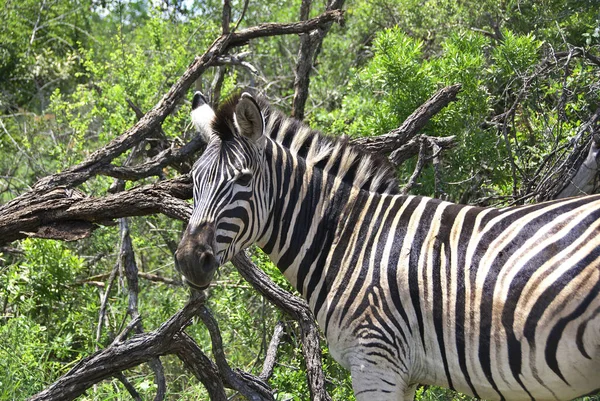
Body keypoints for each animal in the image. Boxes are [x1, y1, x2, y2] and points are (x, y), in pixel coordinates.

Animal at [175, 91, 600, 400]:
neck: (349, 239)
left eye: (243, 180)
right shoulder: (399, 372)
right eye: (193, 180)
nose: (188, 261)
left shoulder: (375, 362)